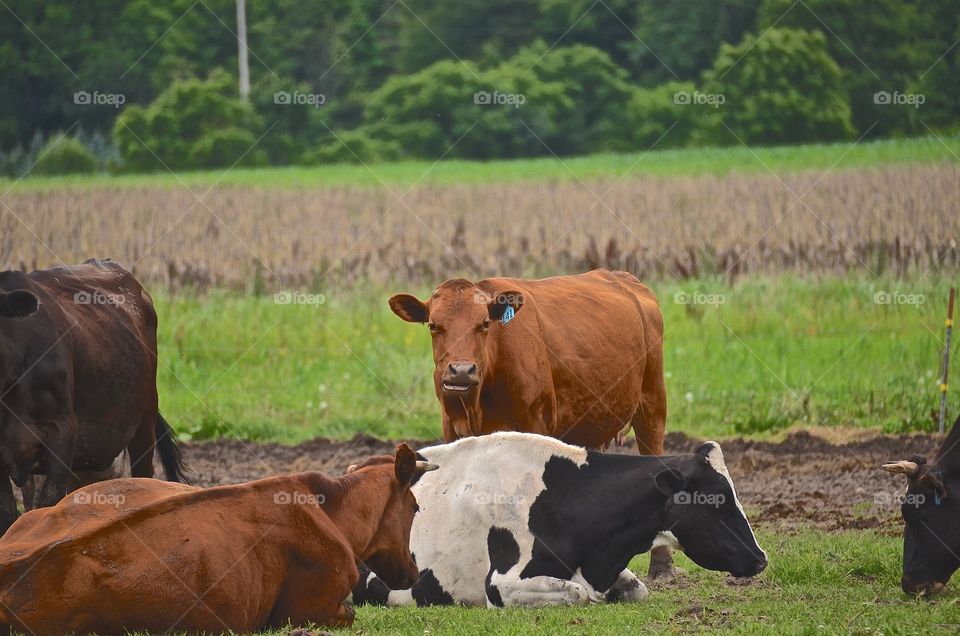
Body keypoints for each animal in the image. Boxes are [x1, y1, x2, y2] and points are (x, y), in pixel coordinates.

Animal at [388, 269, 672, 576]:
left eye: (484, 324)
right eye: (433, 325)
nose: (461, 371)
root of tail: (624, 278)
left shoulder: (534, 426)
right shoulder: (453, 431)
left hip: (652, 403)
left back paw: (662, 565)